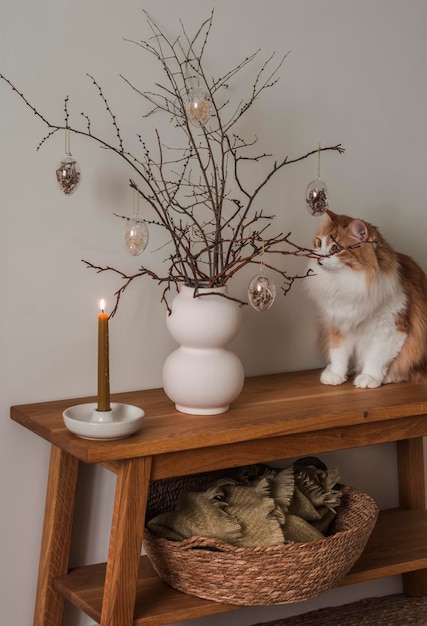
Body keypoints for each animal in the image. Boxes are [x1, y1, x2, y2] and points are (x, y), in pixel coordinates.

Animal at [308, 210, 427, 386]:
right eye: (319, 243)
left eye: (336, 248)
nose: (318, 257)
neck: (348, 284)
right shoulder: (338, 325)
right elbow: (338, 354)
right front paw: (336, 375)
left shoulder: (389, 328)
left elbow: (376, 357)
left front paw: (369, 377)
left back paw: (390, 377)